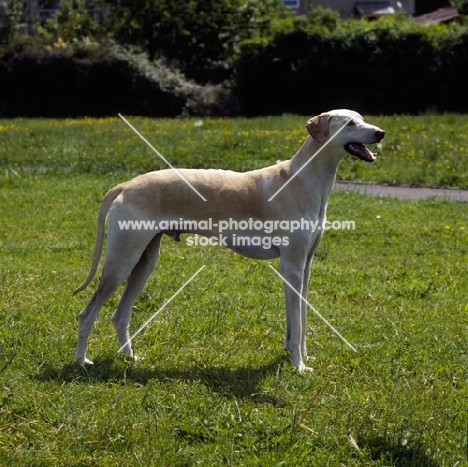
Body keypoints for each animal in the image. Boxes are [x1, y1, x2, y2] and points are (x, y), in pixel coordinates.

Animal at [73, 109, 386, 372]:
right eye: (350, 123)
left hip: (144, 262)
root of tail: (126, 185)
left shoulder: (305, 266)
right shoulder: (292, 267)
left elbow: (300, 321)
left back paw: (130, 357)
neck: (302, 179)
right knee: (87, 314)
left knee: (119, 315)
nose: (381, 133)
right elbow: (297, 324)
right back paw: (81, 361)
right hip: (121, 262)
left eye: (361, 118)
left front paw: (298, 356)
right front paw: (299, 366)